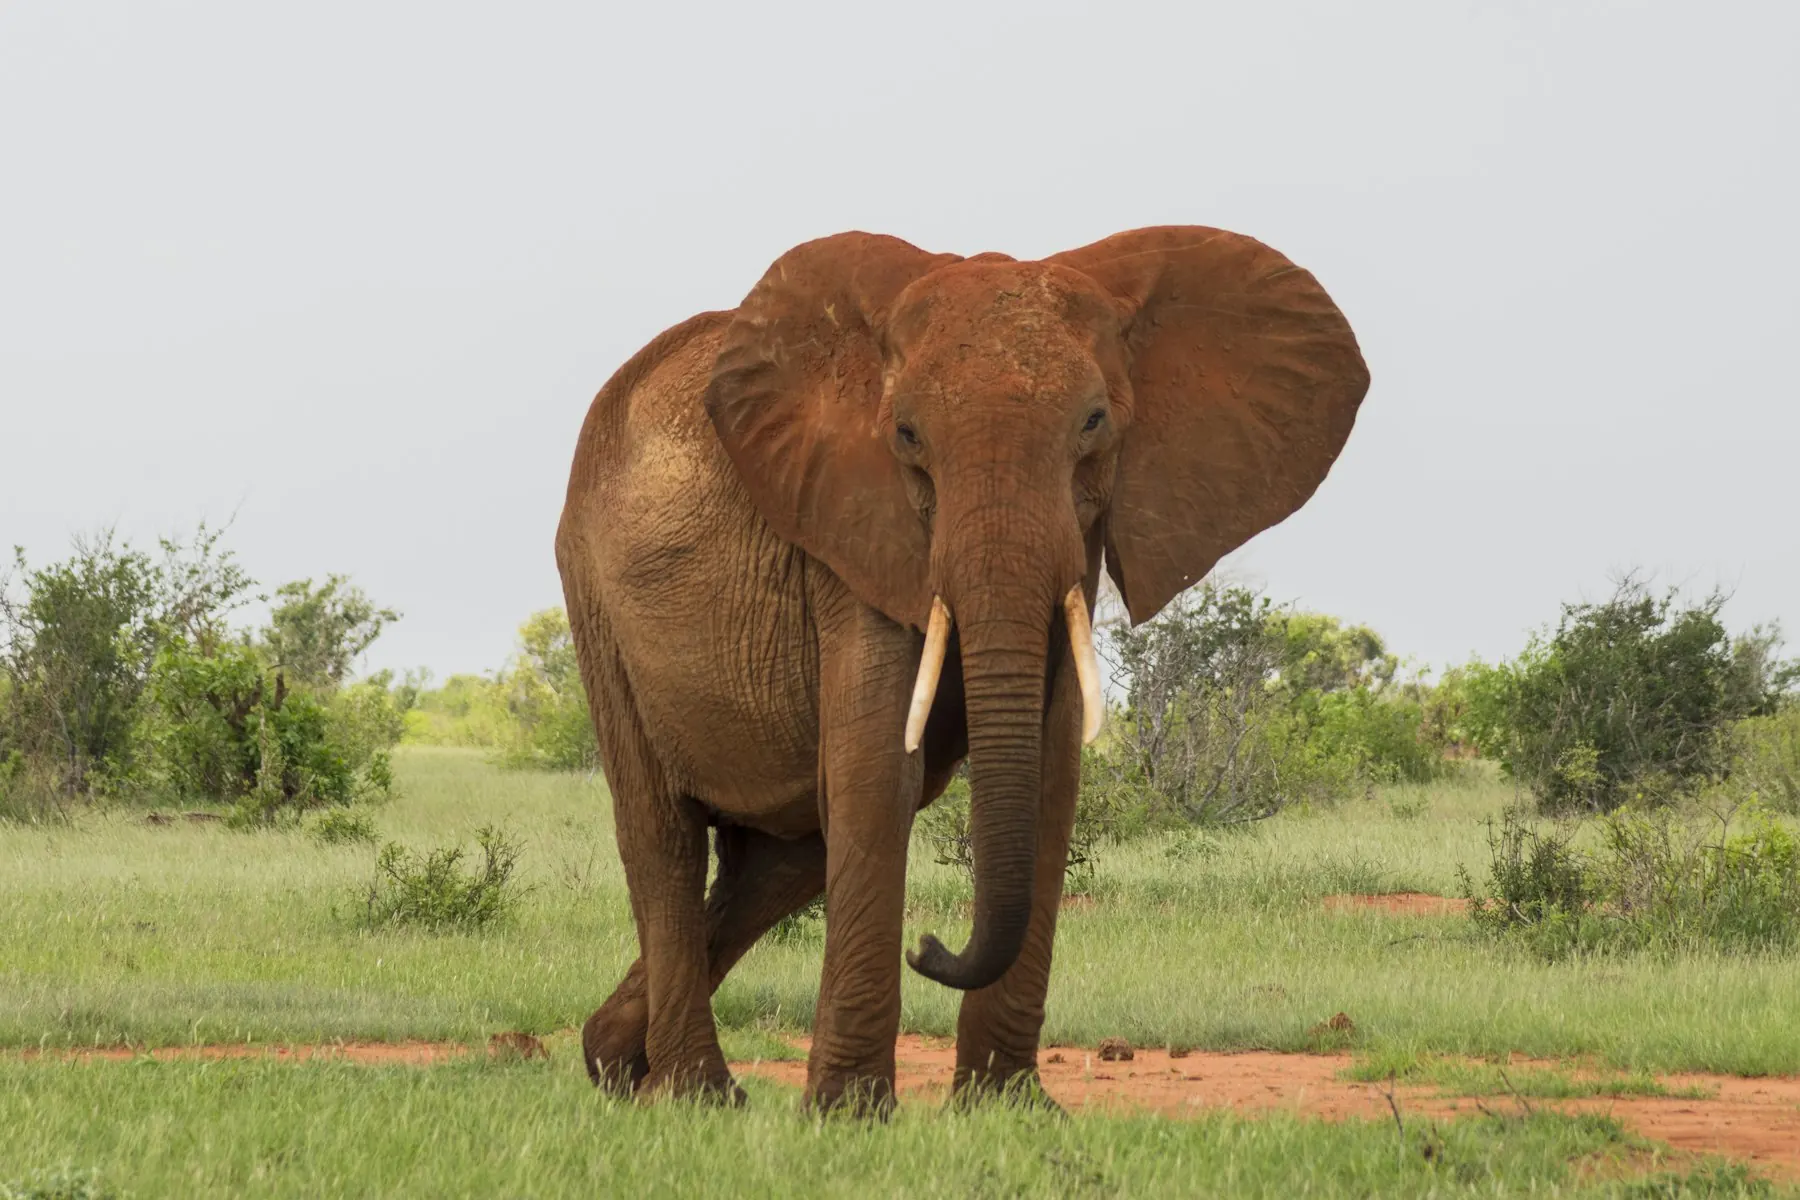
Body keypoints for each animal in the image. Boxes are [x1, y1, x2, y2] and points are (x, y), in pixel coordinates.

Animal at [555, 225, 1369, 1111]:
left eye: (1094, 422)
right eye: (907, 436)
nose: (930, 946)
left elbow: (1048, 772)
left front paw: (1008, 1109)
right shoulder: (850, 531)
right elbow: (880, 770)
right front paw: (848, 1115)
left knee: (780, 861)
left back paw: (614, 1062)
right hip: (594, 597)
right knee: (663, 836)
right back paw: (695, 1096)